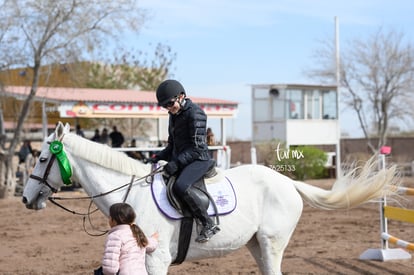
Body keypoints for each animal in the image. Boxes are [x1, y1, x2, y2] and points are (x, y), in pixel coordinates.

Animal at [22, 123, 398, 275]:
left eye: (43, 158)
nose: (25, 199)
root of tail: (288, 183)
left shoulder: (156, 260)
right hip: (256, 244)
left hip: (272, 242)